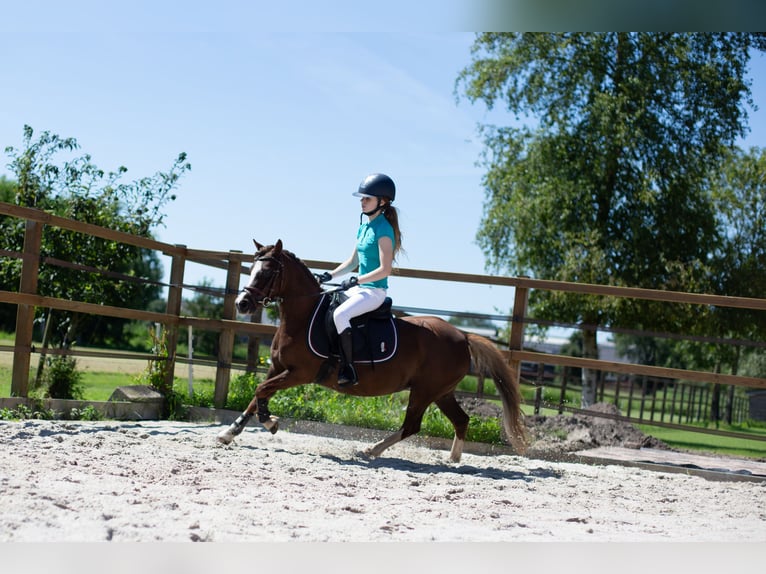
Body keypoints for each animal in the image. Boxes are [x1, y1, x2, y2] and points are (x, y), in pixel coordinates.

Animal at [216, 241, 528, 466]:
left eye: (267, 272)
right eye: (251, 269)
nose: (242, 303)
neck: (302, 317)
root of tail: (462, 336)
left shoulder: (299, 374)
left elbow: (261, 390)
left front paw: (270, 422)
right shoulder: (277, 368)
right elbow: (257, 395)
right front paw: (229, 432)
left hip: (425, 391)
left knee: (412, 425)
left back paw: (370, 450)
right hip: (442, 392)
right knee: (461, 420)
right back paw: (452, 460)